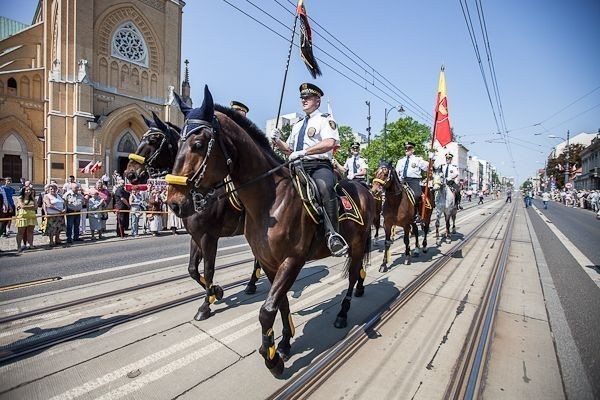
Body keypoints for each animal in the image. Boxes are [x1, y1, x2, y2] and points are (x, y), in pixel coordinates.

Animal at [123, 111, 260, 320]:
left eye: (154, 140)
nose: (130, 174)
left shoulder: (208, 237)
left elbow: (209, 270)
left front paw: (205, 306)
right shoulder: (195, 236)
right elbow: (193, 270)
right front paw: (216, 291)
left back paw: (252, 282)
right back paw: (252, 283)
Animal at [164, 86, 376, 376]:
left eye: (197, 145)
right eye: (177, 145)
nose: (174, 202)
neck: (271, 200)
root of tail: (364, 188)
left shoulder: (291, 260)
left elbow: (266, 310)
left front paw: (272, 358)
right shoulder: (267, 262)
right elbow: (280, 302)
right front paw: (284, 342)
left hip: (355, 245)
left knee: (354, 276)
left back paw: (343, 314)